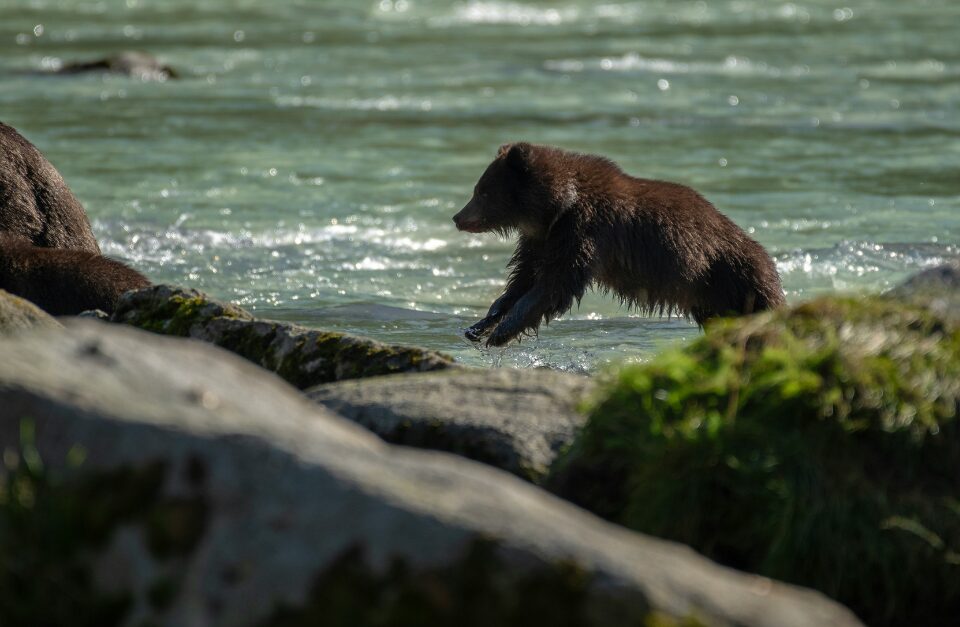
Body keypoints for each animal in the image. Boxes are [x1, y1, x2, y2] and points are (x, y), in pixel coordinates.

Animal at [453, 143, 785, 347]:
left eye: (482, 192)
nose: (457, 217)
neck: (554, 210)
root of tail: (766, 257)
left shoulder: (584, 232)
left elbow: (554, 285)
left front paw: (501, 333)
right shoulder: (541, 240)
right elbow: (522, 279)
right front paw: (481, 324)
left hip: (736, 280)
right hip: (713, 300)